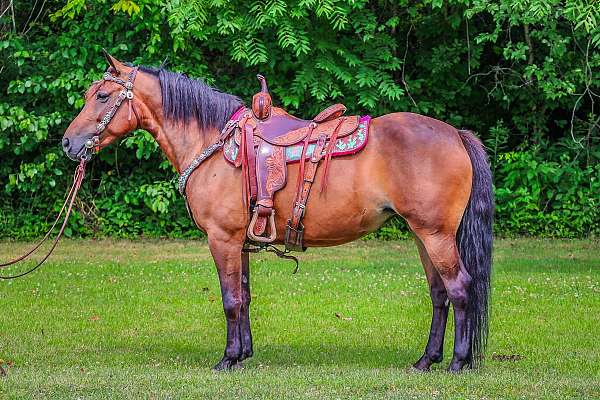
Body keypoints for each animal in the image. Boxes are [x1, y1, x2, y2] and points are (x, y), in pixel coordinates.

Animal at [62, 53, 492, 372]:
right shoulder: (239, 242)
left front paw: (227, 359)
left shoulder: (222, 238)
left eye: (102, 97)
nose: (68, 143)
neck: (211, 142)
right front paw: (243, 355)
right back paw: (426, 360)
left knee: (460, 288)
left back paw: (457, 363)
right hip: (423, 235)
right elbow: (244, 296)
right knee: (439, 295)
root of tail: (455, 134)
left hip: (435, 235)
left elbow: (229, 299)